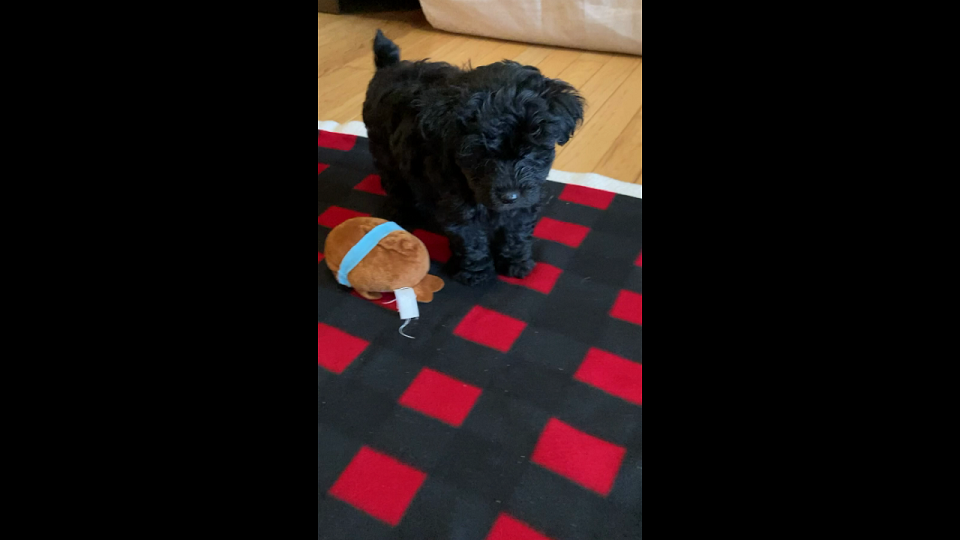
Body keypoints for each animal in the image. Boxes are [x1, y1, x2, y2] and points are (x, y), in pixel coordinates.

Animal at [362, 30, 580, 284]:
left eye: (531, 149)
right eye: (479, 154)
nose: (509, 196)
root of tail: (388, 68)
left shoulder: (526, 200)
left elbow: (516, 231)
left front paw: (516, 262)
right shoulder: (458, 204)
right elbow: (471, 239)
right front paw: (477, 272)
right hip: (383, 152)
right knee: (396, 184)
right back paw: (400, 211)